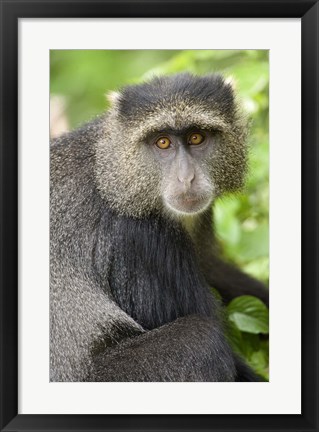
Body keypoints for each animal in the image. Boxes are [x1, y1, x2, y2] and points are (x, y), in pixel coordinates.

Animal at [50, 73, 268, 382]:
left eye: (196, 137)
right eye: (162, 142)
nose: (186, 178)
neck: (113, 173)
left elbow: (211, 266)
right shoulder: (138, 237)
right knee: (201, 340)